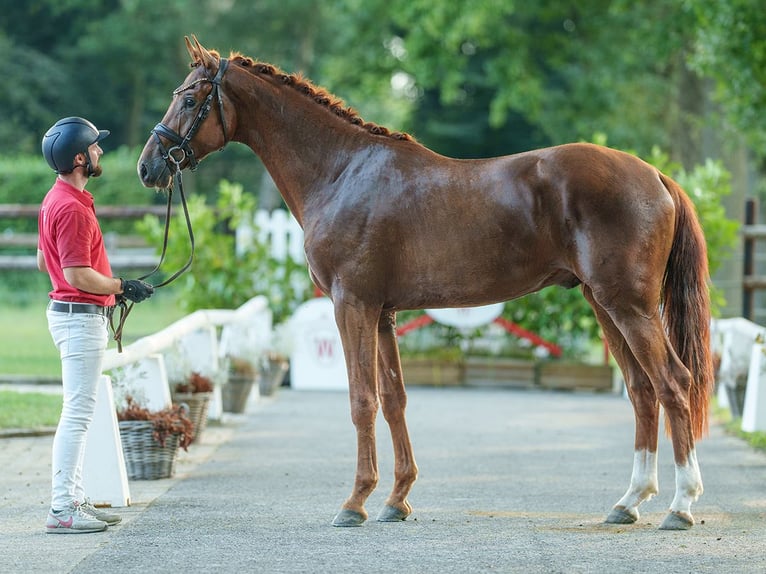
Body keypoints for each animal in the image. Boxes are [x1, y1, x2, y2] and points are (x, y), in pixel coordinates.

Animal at [136, 35, 712, 532]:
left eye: (190, 98)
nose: (148, 167)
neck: (342, 173)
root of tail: (655, 176)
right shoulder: (383, 313)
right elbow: (394, 398)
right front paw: (396, 500)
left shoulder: (352, 305)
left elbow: (361, 400)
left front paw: (354, 503)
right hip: (604, 303)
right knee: (642, 391)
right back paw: (628, 502)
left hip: (629, 305)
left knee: (673, 383)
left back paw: (681, 506)